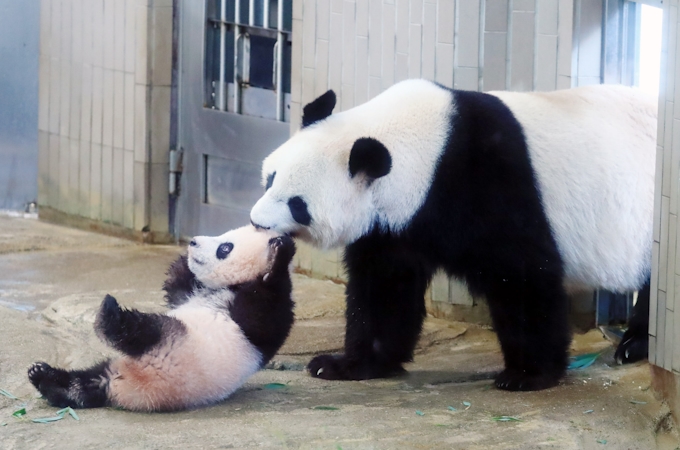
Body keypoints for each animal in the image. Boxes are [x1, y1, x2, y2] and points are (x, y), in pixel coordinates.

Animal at [28, 227, 294, 410]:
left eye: (225, 248)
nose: (194, 241)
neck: (231, 286)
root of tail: (126, 388)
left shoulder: (256, 322)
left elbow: (265, 316)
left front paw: (281, 253)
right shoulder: (189, 295)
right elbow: (176, 287)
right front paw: (183, 258)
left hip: (173, 344)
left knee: (140, 330)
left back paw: (108, 314)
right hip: (123, 364)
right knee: (86, 383)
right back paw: (44, 376)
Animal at [248, 80, 652, 390]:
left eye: (297, 204)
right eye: (271, 178)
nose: (257, 222)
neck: (431, 147)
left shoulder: (489, 181)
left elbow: (523, 274)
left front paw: (528, 374)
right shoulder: (394, 222)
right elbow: (385, 286)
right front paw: (346, 364)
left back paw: (634, 345)